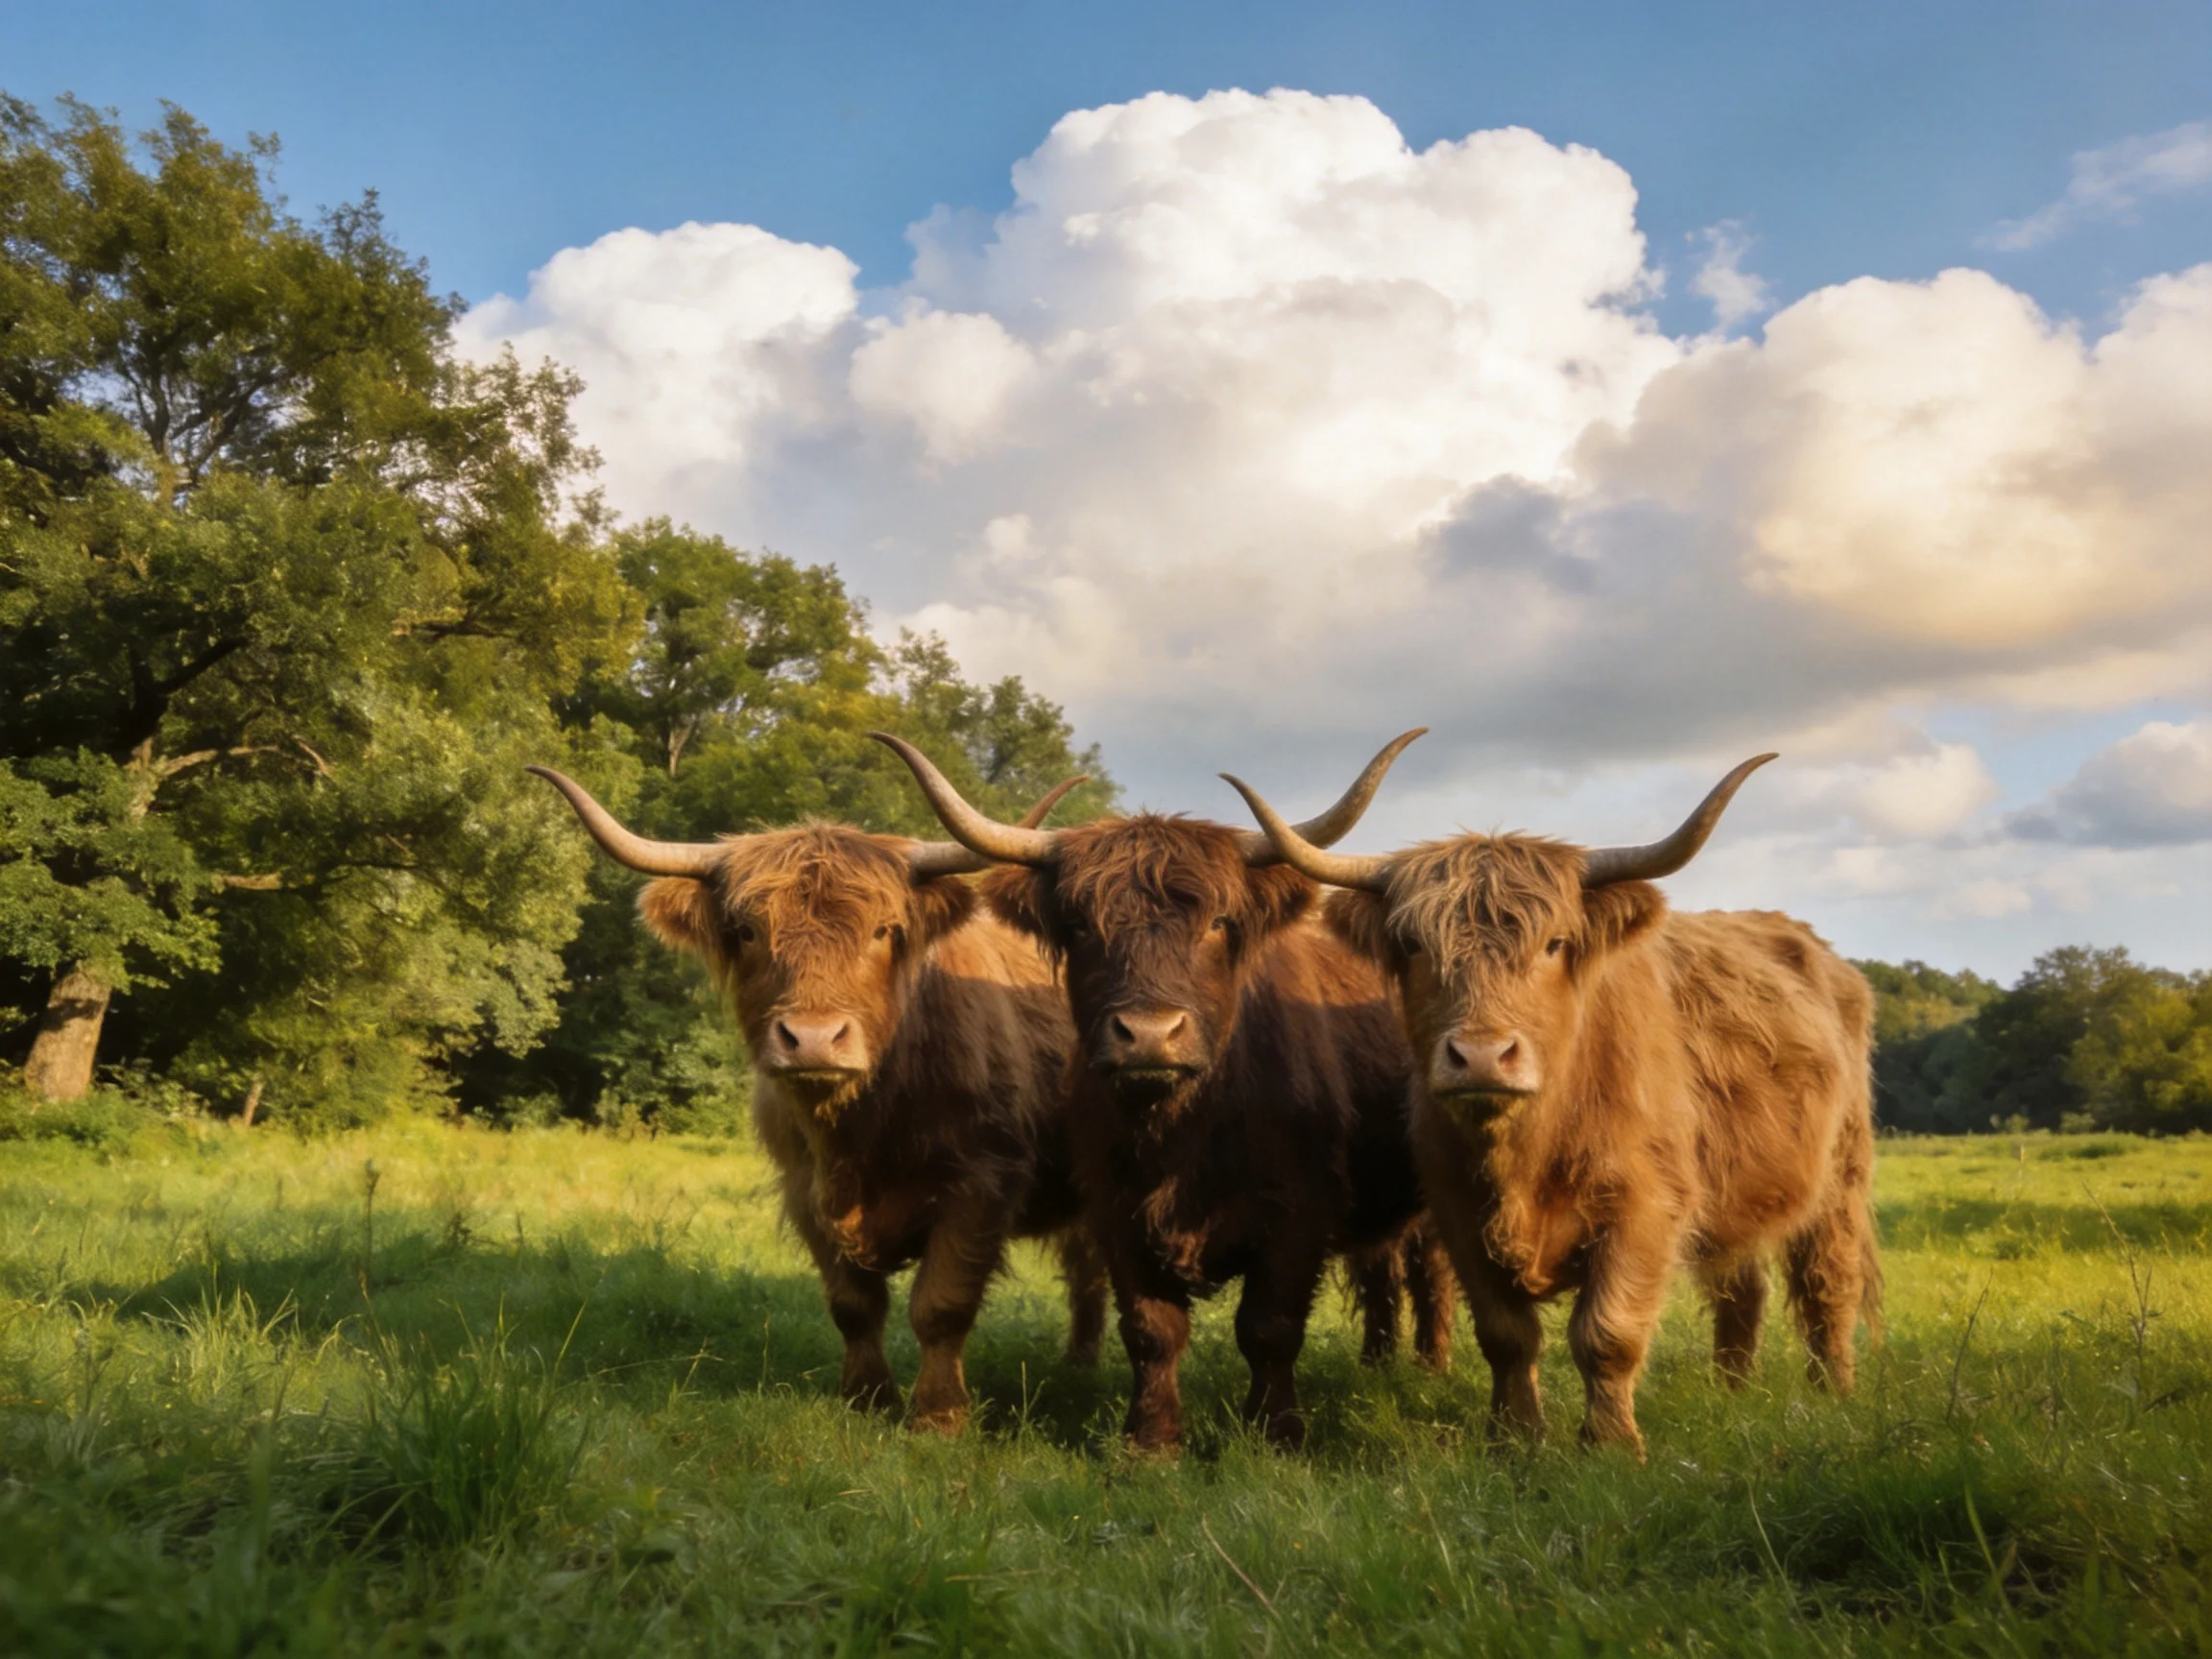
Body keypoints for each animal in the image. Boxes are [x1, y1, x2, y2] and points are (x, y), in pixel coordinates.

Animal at [527, 765, 1108, 1433]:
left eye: (883, 930)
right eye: (747, 931)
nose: (812, 1038)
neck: (858, 1129)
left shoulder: (983, 1180)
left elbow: (941, 1304)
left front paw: (939, 1415)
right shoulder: (804, 1190)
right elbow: (853, 1306)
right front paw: (867, 1397)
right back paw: (1077, 1366)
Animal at [872, 731, 1457, 1453]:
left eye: (1219, 923)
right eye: (1081, 926)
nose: (1149, 1035)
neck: (1181, 1134)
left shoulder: (1300, 1210)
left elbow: (1269, 1327)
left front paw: (1277, 1433)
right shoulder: (1117, 1211)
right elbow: (1152, 1330)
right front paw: (1151, 1442)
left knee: (1428, 1272)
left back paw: (1428, 1367)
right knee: (1380, 1272)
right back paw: (1377, 1360)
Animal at [1225, 754, 1879, 1460]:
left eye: (1555, 944)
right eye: (1415, 945)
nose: (1482, 1055)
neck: (1527, 1149)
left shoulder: (1645, 1207)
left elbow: (1607, 1333)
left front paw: (1611, 1445)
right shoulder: (1457, 1211)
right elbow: (1507, 1336)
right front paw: (1515, 1438)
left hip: (1841, 1179)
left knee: (1828, 1285)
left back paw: (1833, 1394)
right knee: (1742, 1286)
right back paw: (1733, 1391)